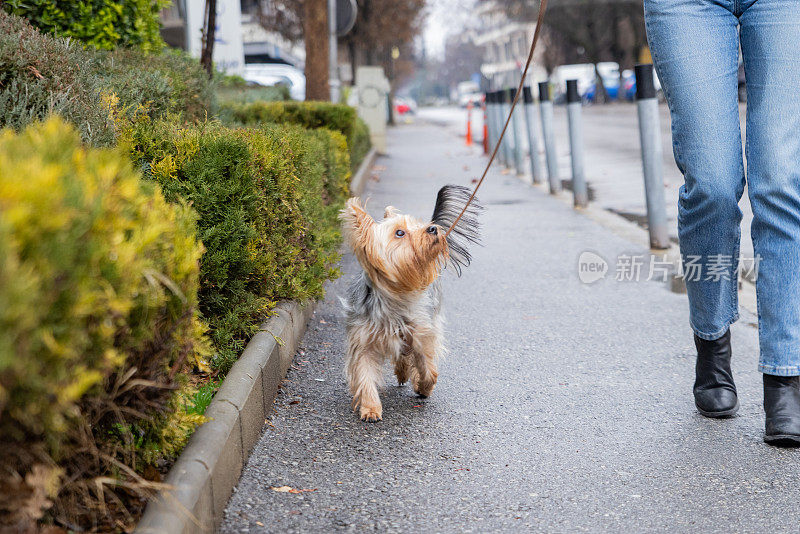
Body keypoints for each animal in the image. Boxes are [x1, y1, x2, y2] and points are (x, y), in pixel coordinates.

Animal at [340, 185, 482, 422]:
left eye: (418, 224)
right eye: (400, 233)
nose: (432, 228)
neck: (398, 295)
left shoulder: (422, 334)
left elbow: (428, 368)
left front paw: (424, 387)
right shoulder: (364, 340)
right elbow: (365, 374)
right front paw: (370, 408)